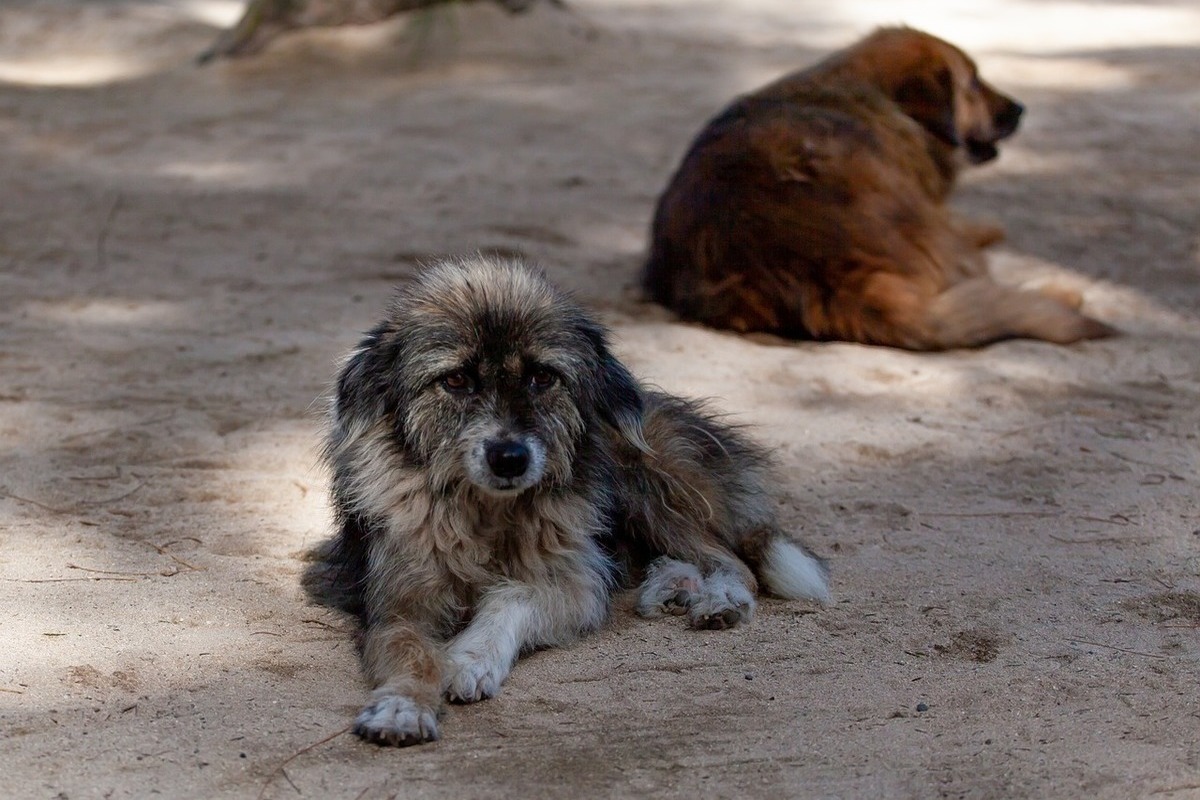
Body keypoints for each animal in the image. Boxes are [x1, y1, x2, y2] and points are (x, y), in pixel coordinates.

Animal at [316, 257, 825, 753]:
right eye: (456, 379)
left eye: (543, 377)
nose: (510, 458)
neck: (488, 514)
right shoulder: (398, 603)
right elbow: (411, 654)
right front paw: (402, 706)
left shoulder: (574, 585)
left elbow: (513, 596)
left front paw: (471, 658)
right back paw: (671, 584)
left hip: (645, 481)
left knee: (730, 559)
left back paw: (718, 597)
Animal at [648, 26, 1113, 350]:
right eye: (973, 84)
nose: (1019, 109)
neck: (874, 94)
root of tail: (829, 274)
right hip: (934, 237)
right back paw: (1059, 292)